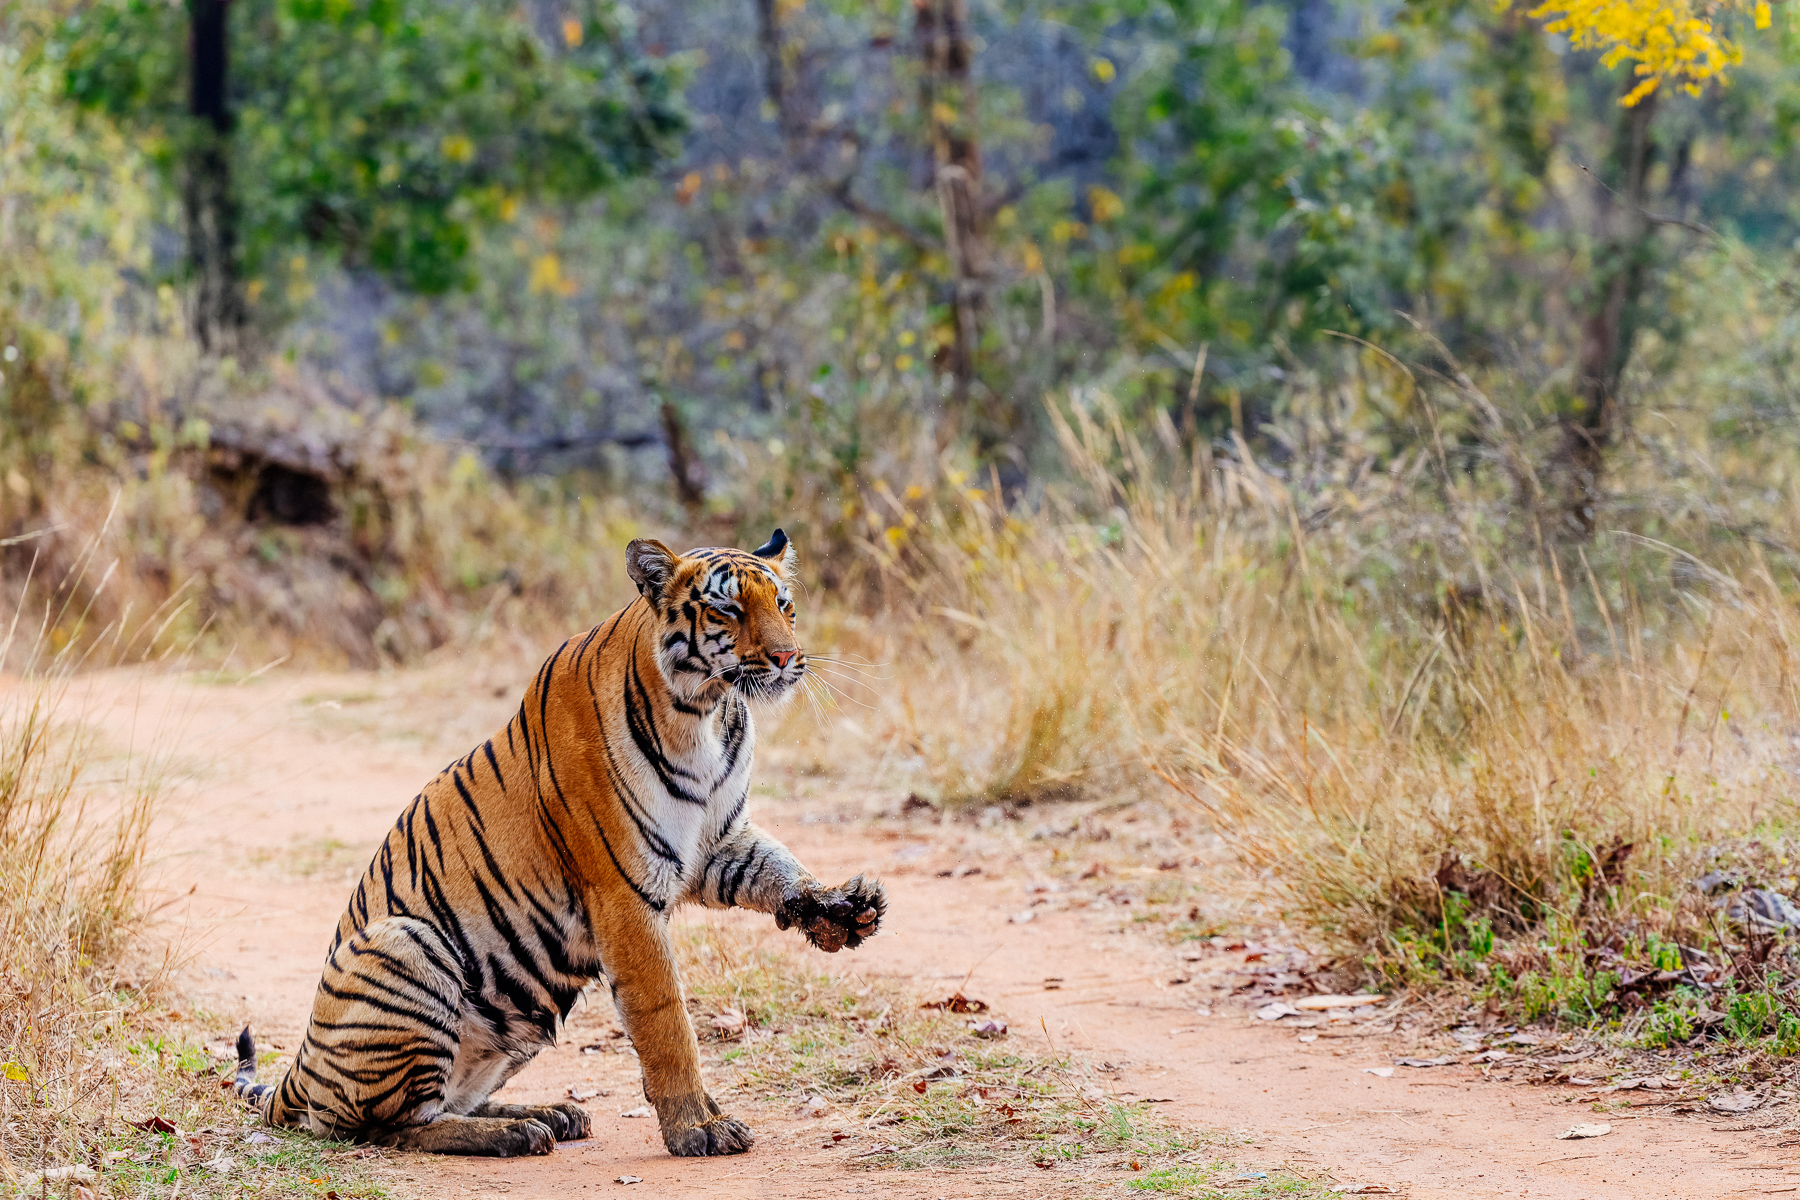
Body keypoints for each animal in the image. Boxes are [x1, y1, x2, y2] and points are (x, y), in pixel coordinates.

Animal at [229, 530, 886, 1158]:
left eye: (784, 604)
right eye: (727, 609)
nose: (787, 657)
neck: (707, 711)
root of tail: (300, 1070)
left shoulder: (718, 843)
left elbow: (781, 869)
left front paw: (843, 909)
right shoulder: (624, 890)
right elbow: (667, 1021)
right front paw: (699, 1129)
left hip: (512, 1023)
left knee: (448, 1101)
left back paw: (550, 1114)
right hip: (405, 943)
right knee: (389, 1124)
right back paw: (514, 1134)